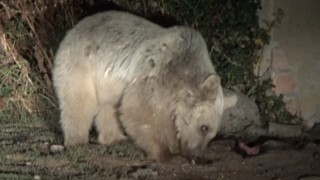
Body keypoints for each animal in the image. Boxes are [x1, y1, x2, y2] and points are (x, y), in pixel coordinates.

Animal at [52, 10, 224, 161]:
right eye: (204, 127)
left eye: (213, 135)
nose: (198, 156)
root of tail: (72, 30)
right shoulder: (156, 71)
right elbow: (138, 108)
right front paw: (164, 151)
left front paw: (174, 146)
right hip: (80, 64)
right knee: (78, 102)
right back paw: (78, 140)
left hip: (106, 82)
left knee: (108, 106)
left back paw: (116, 138)